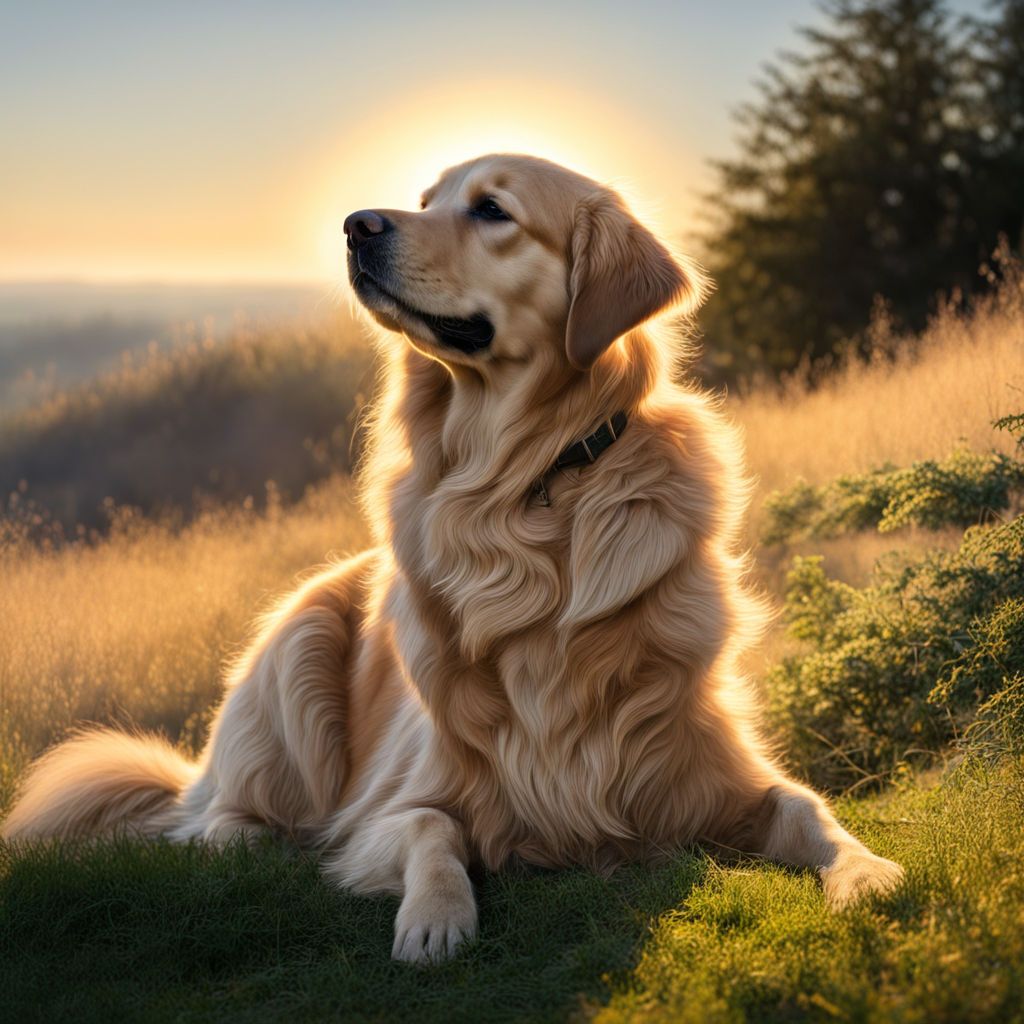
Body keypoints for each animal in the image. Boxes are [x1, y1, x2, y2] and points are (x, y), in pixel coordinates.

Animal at [0, 151, 901, 958]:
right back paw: (248, 836)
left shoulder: (712, 772)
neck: (525, 484)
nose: (357, 225)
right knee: (217, 817)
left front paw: (869, 873)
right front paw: (436, 918)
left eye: (492, 209)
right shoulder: (385, 807)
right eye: (426, 198)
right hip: (298, 645)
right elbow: (432, 827)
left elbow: (811, 810)